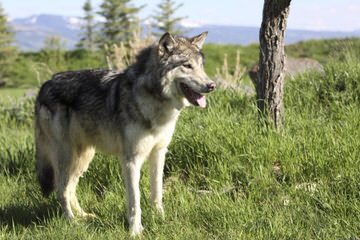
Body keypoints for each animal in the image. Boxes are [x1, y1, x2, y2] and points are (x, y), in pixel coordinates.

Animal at [34, 31, 214, 236]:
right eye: (187, 66)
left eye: (201, 66)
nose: (212, 85)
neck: (155, 103)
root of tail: (45, 85)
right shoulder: (131, 160)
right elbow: (135, 201)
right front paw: (136, 231)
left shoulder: (159, 153)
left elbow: (157, 192)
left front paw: (160, 218)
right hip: (66, 156)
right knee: (61, 190)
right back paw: (72, 221)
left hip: (83, 157)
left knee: (70, 187)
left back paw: (84, 216)